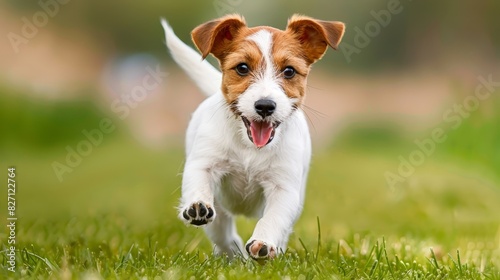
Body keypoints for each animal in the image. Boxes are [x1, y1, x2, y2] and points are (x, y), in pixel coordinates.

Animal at [160, 13, 344, 260]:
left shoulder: (284, 189)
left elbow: (273, 219)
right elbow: (198, 184)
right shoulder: (203, 164)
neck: (250, 147)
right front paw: (198, 205)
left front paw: (263, 242)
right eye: (242, 68)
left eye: (289, 71)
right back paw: (231, 255)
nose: (265, 106)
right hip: (221, 213)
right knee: (223, 233)